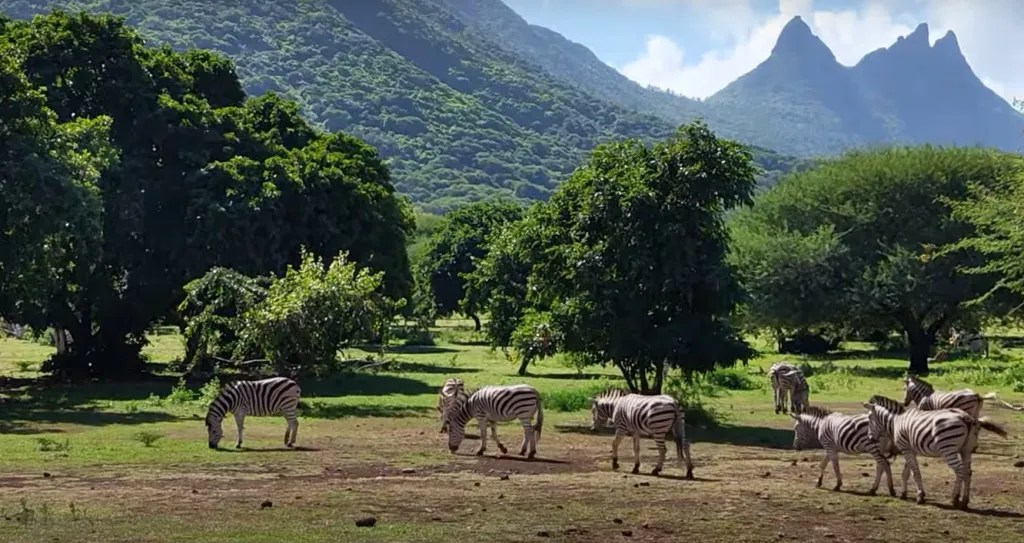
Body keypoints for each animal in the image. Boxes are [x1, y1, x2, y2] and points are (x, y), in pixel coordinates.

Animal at [862, 394, 1008, 509]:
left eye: (869, 419)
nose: (869, 438)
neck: (896, 421)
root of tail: (965, 417)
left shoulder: (906, 449)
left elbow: (915, 473)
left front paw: (920, 496)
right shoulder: (910, 449)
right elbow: (906, 473)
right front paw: (904, 494)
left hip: (948, 449)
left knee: (960, 470)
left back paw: (955, 499)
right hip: (966, 450)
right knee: (968, 472)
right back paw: (965, 501)